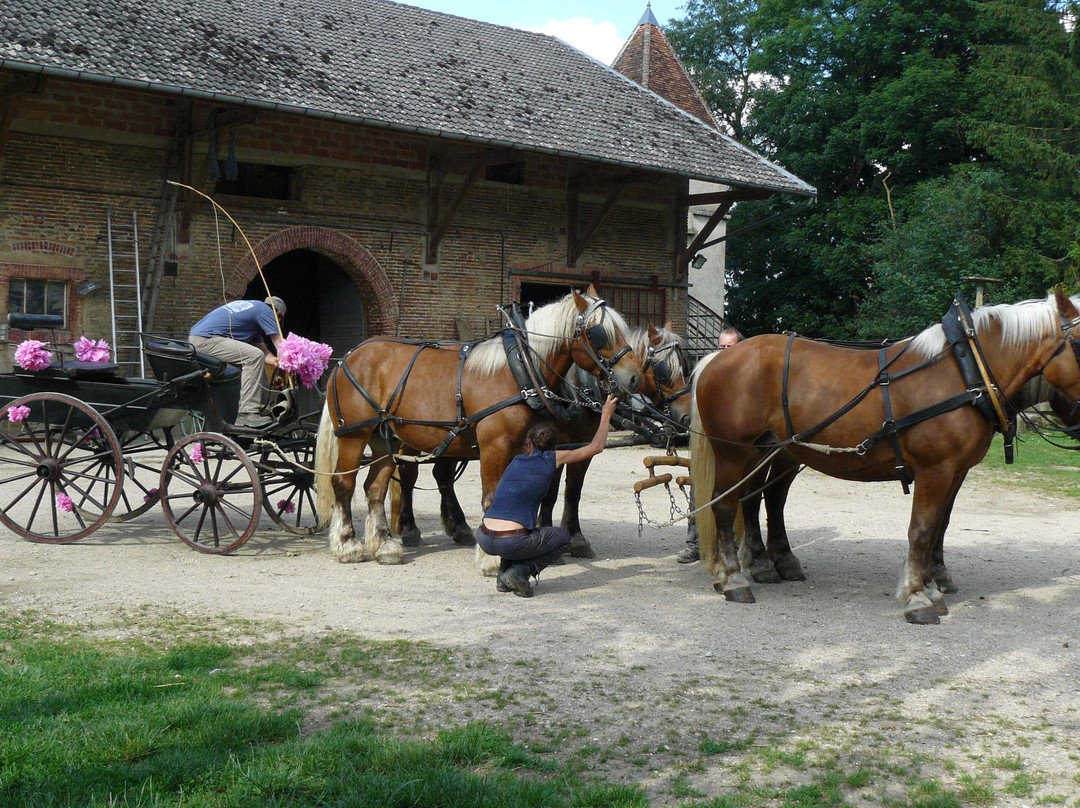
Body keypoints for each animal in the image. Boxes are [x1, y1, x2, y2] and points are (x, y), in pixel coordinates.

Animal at [315, 287, 643, 570]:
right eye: (599, 333)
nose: (633, 378)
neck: (520, 368)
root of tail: (347, 358)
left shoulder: (525, 446)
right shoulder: (495, 444)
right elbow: (493, 497)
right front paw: (492, 557)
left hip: (385, 439)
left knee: (376, 487)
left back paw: (384, 545)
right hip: (355, 435)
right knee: (345, 485)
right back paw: (348, 544)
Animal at [390, 319, 691, 557]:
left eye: (686, 366)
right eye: (664, 370)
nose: (687, 416)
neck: (575, 388)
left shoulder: (581, 445)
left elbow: (572, 492)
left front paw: (573, 538)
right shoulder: (554, 444)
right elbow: (550, 493)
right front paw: (554, 536)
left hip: (453, 439)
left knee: (441, 475)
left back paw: (459, 528)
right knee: (408, 474)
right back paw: (410, 529)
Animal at [686, 289, 1080, 626]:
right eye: (1078, 342)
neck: (965, 370)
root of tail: (717, 357)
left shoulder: (956, 472)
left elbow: (939, 528)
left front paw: (933, 586)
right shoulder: (935, 470)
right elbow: (922, 529)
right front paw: (918, 597)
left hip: (768, 452)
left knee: (758, 501)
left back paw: (761, 566)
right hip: (735, 451)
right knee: (725, 506)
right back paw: (734, 579)